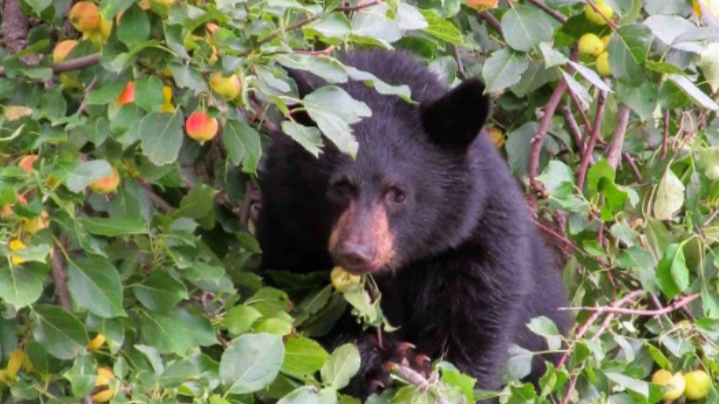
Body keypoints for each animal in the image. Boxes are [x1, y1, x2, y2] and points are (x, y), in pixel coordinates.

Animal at [256, 48, 571, 400]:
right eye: (340, 186)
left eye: (398, 194)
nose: (356, 253)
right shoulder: (287, 226)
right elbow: (302, 315)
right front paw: (380, 361)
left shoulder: (482, 242)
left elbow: (475, 336)